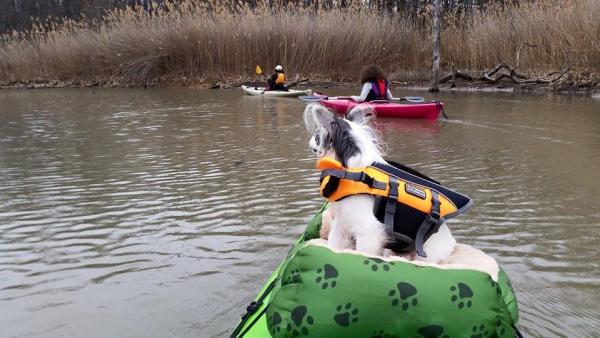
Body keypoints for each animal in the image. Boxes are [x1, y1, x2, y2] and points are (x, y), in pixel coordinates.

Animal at [304, 103, 454, 264]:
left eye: (317, 136)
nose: (310, 139)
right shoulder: (342, 222)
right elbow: (333, 244)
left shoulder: (369, 230)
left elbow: (363, 253)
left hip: (424, 256)